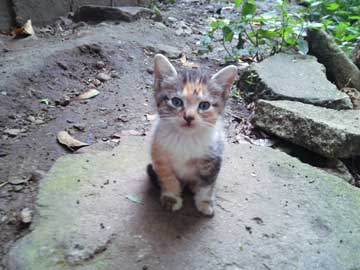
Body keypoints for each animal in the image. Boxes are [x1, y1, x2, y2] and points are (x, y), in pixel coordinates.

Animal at [148, 53, 238, 216]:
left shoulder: (214, 159)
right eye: (176, 102)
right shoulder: (159, 155)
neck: (186, 138)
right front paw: (171, 198)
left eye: (204, 105)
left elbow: (207, 185)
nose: (188, 117)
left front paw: (204, 202)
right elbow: (168, 179)